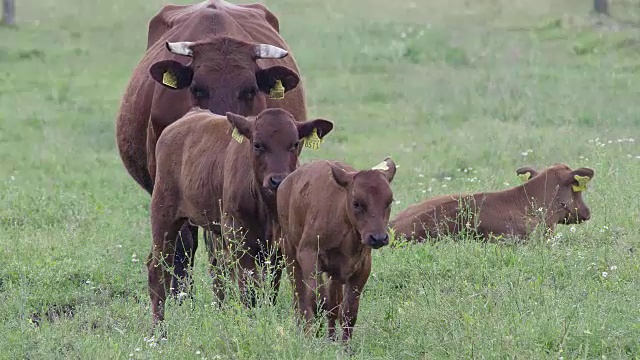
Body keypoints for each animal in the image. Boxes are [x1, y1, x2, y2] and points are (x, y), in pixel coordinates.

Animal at [147, 107, 332, 326]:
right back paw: (158, 330)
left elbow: (271, 290)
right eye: (257, 144)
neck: (266, 209)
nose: (277, 180)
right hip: (163, 216)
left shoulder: (279, 248)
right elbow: (249, 294)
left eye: (295, 144)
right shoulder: (240, 240)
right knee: (158, 271)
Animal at [278, 157, 398, 340]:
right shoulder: (308, 255)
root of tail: (286, 183)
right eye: (357, 203)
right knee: (300, 300)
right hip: (290, 254)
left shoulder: (361, 268)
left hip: (334, 274)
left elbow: (348, 311)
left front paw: (344, 344)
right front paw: (317, 335)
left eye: (389, 201)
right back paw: (306, 334)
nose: (378, 238)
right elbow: (317, 300)